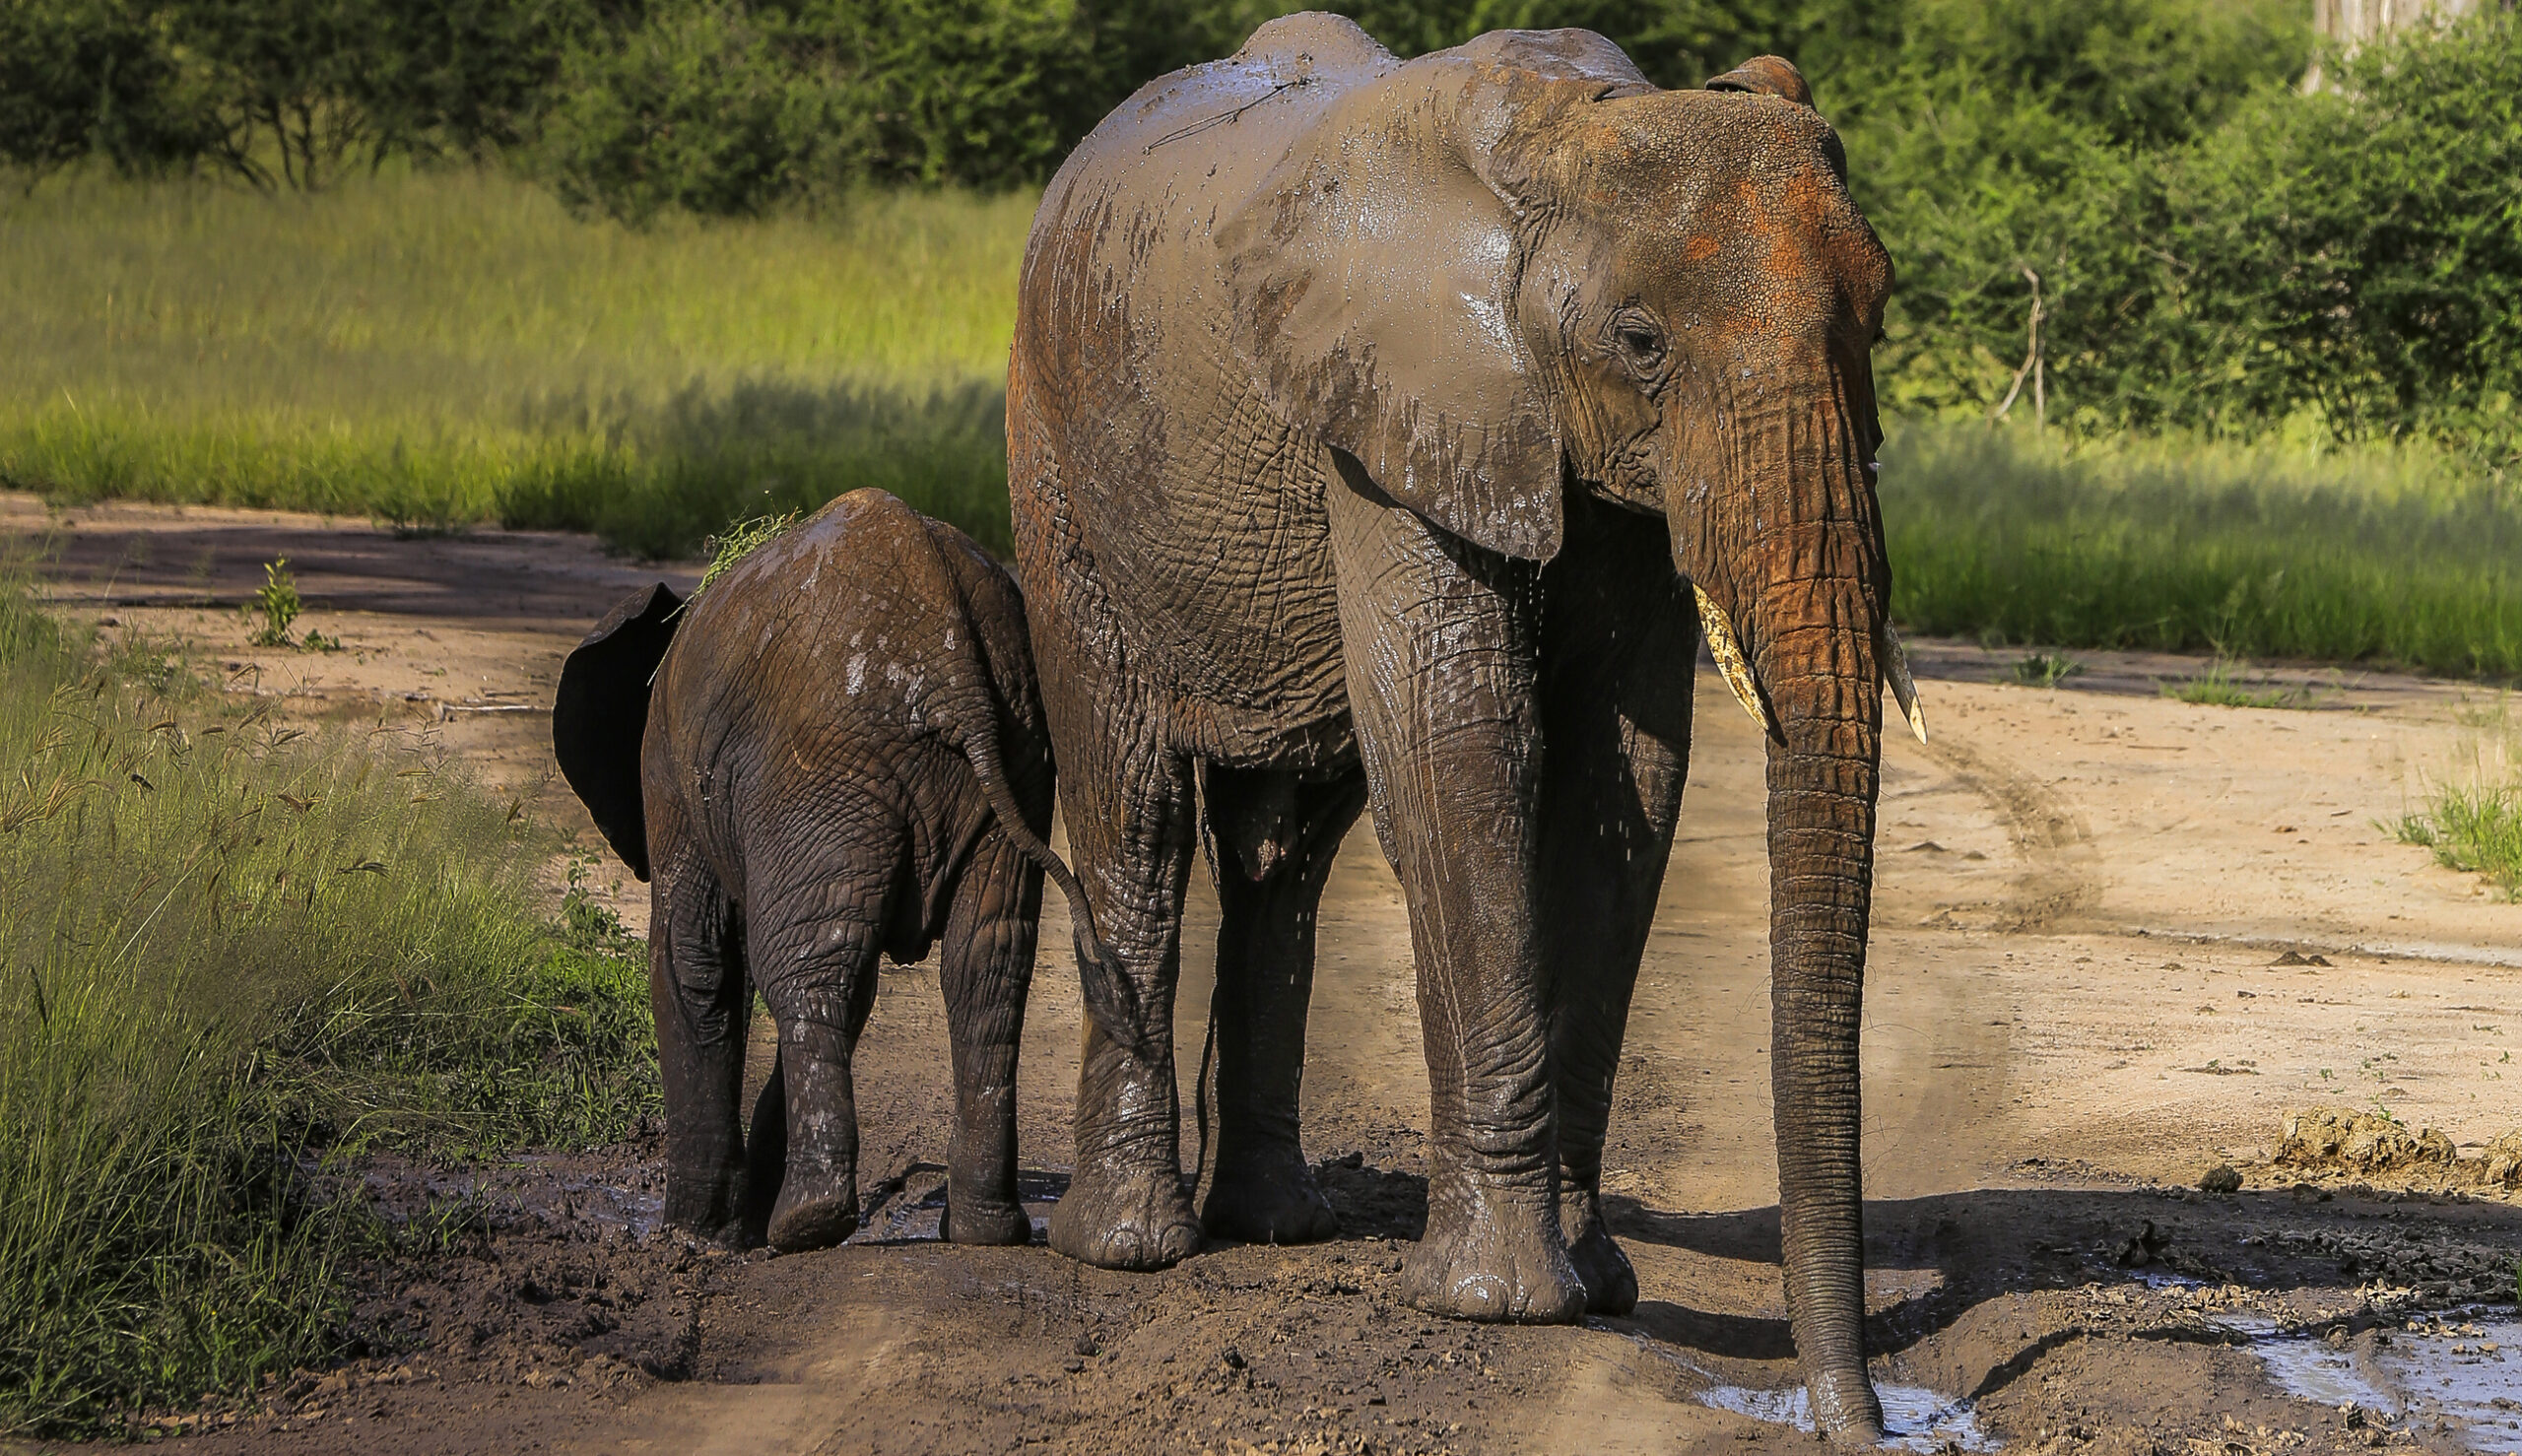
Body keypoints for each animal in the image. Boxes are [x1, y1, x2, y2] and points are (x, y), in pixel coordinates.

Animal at [552, 489, 1131, 1254]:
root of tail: (955, 672)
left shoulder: (667, 769)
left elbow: (694, 961)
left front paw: (698, 1236)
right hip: (1016, 749)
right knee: (982, 967)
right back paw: (984, 1230)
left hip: (822, 771)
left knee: (806, 968)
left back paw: (806, 1226)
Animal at [1007, 14, 1924, 1440]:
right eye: (1642, 340)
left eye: (1879, 319)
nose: (1858, 1420)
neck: (1574, 131)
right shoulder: (1395, 423)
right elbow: (1457, 744)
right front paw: (1504, 1304)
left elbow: (1627, 777)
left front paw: (1598, 1280)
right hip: (1059, 444)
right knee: (1134, 809)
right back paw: (1129, 1248)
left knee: (1284, 852)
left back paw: (1277, 1224)